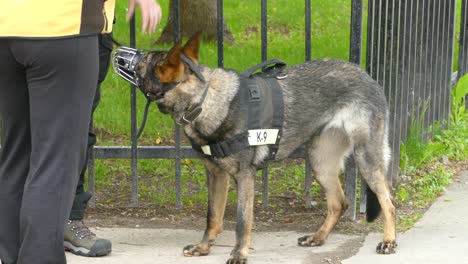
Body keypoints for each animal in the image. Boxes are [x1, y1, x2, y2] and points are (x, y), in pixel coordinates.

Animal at [130, 34, 396, 262]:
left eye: (141, 63)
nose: (126, 54)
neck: (205, 99)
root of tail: (366, 76)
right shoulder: (216, 175)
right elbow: (213, 216)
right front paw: (204, 247)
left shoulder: (244, 177)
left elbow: (242, 222)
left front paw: (239, 254)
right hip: (320, 163)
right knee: (339, 203)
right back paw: (318, 237)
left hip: (365, 159)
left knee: (388, 201)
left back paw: (389, 240)